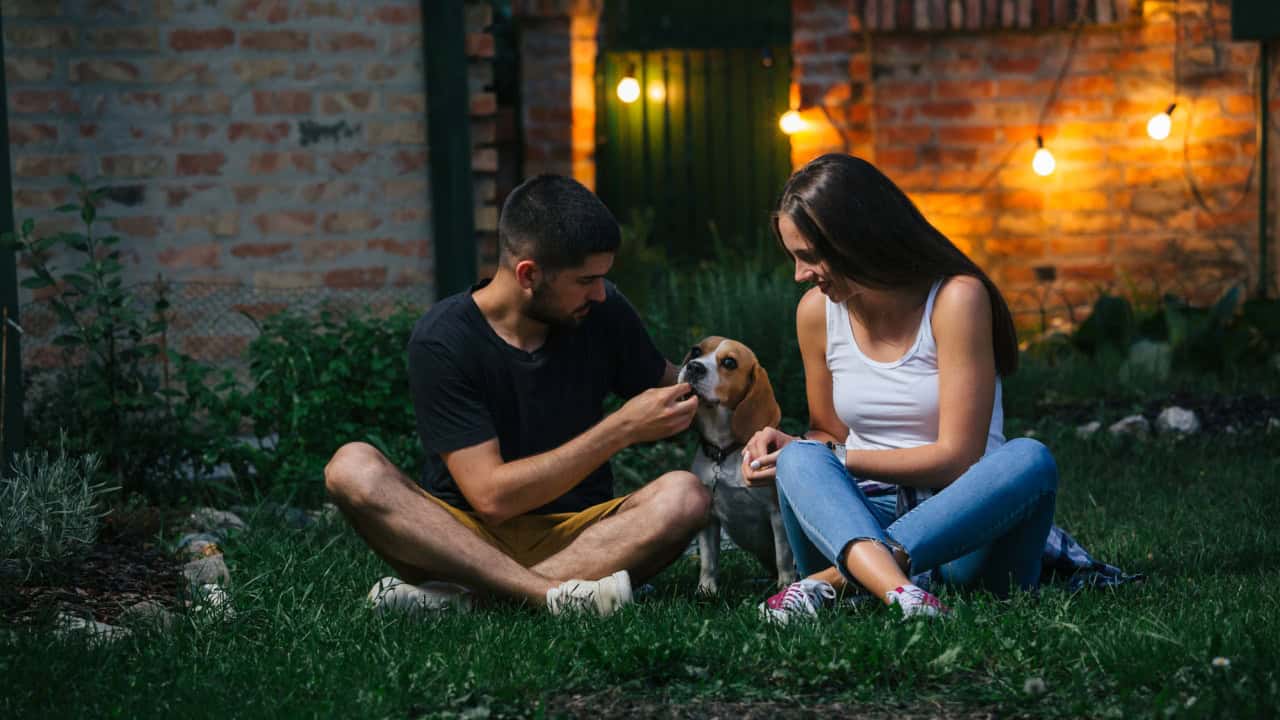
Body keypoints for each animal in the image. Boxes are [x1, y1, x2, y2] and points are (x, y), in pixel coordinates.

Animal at [675, 333, 793, 591]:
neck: (724, 453)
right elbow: (708, 560)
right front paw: (706, 590)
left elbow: (784, 557)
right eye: (696, 351)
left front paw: (786, 586)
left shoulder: (777, 514)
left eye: (729, 362)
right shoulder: (709, 519)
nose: (694, 367)